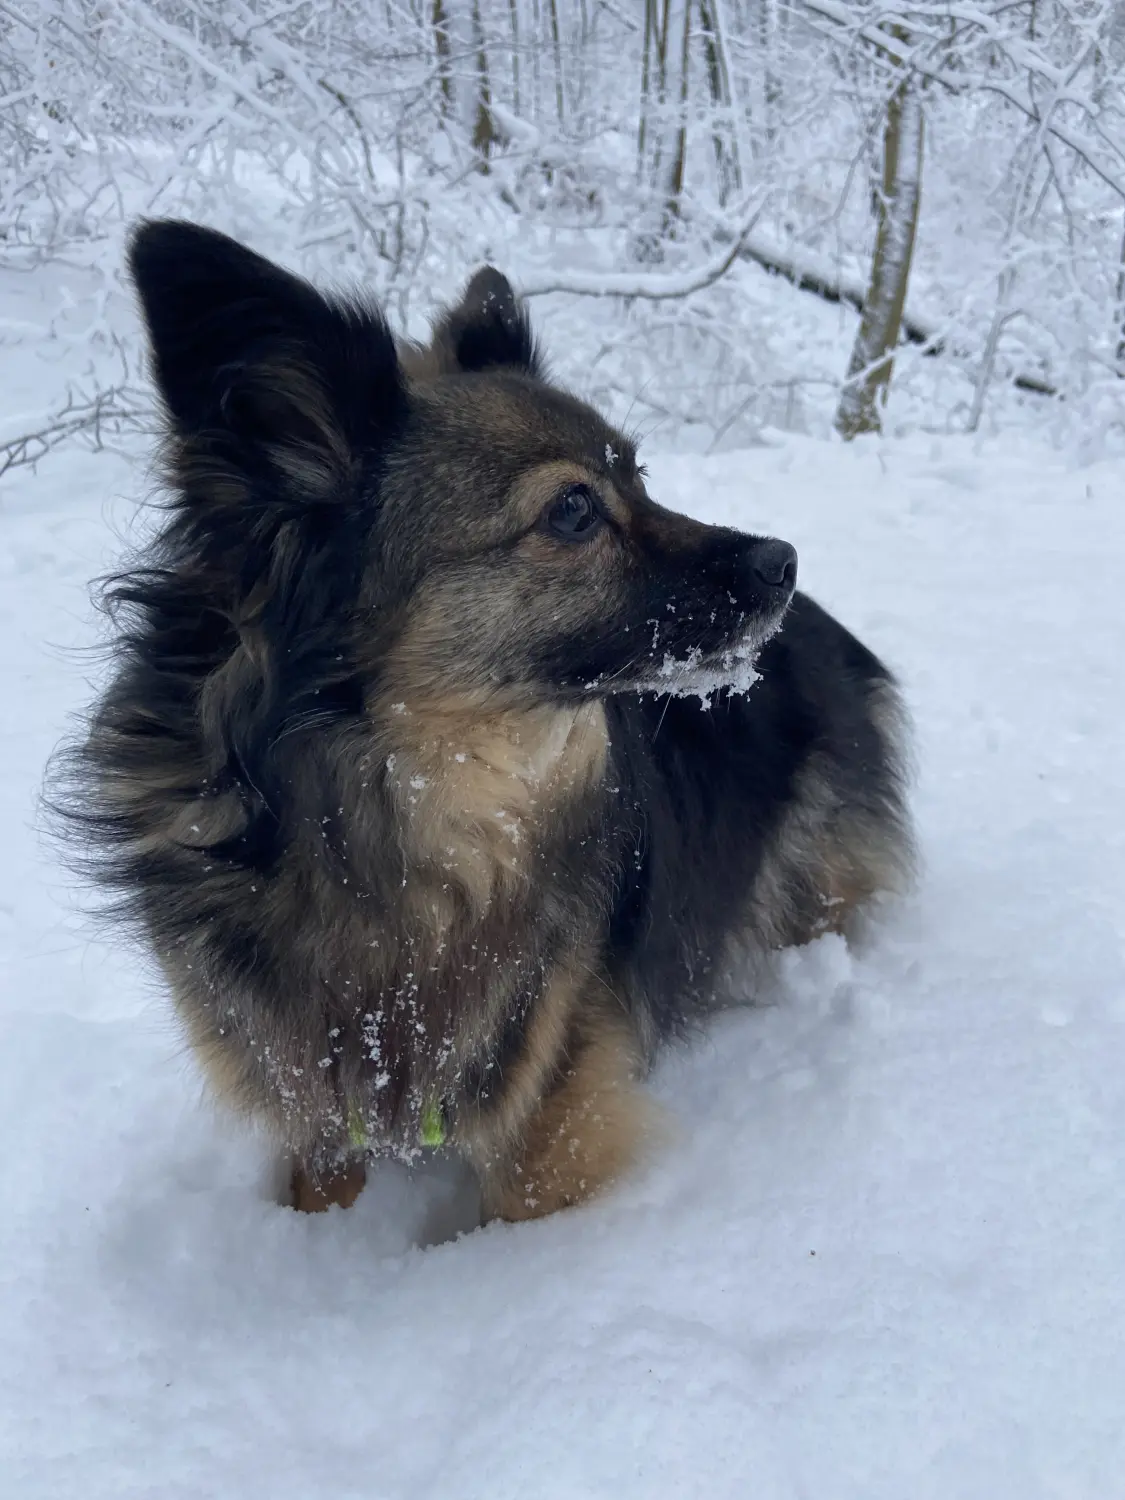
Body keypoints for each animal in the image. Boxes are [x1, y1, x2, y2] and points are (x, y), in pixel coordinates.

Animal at [57, 222, 912, 1224]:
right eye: (574, 509)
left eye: (639, 476)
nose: (782, 561)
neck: (393, 833)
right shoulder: (305, 1086)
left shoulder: (555, 1121)